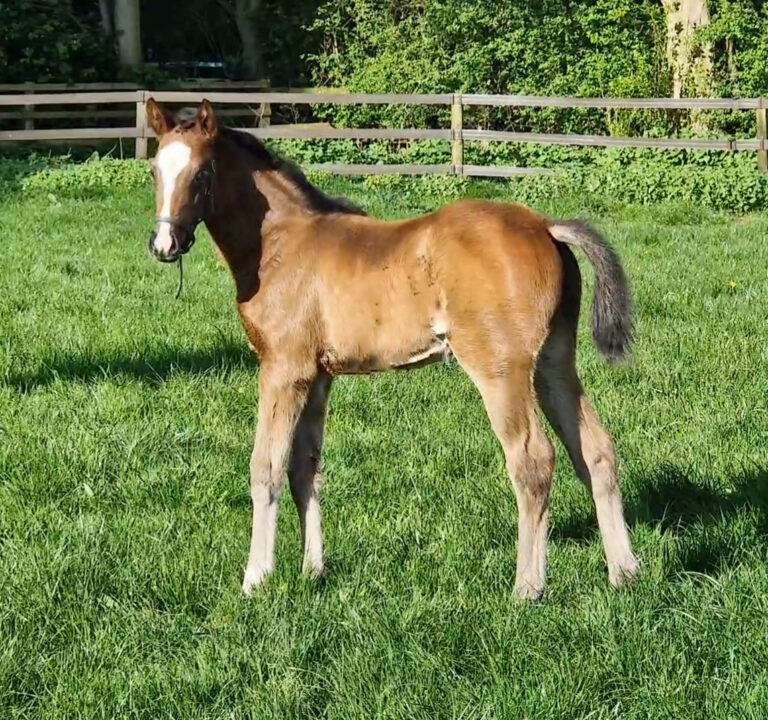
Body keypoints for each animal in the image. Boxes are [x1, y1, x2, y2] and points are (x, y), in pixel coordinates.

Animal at [145, 98, 639, 599]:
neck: (279, 244)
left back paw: (527, 587)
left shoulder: (283, 369)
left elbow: (266, 467)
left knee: (532, 460)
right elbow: (305, 468)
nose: (165, 244)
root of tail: (546, 227)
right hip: (553, 363)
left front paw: (256, 579)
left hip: (502, 368)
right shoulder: (318, 375)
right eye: (154, 170)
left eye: (202, 173)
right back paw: (624, 572)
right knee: (597, 451)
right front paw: (313, 571)